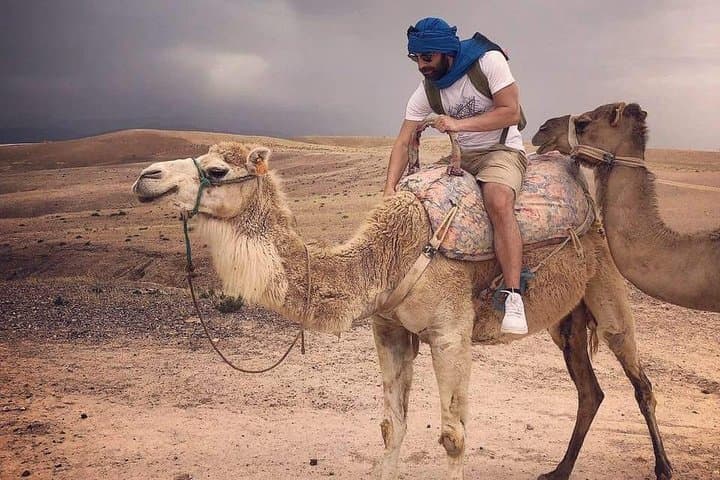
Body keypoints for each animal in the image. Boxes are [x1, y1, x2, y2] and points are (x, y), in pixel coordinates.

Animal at [132, 141, 673, 480]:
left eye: (217, 170)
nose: (145, 177)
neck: (389, 253)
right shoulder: (388, 329)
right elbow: (392, 427)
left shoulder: (451, 333)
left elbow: (453, 437)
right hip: (567, 318)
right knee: (589, 389)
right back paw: (558, 471)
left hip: (605, 281)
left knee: (638, 377)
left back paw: (663, 468)